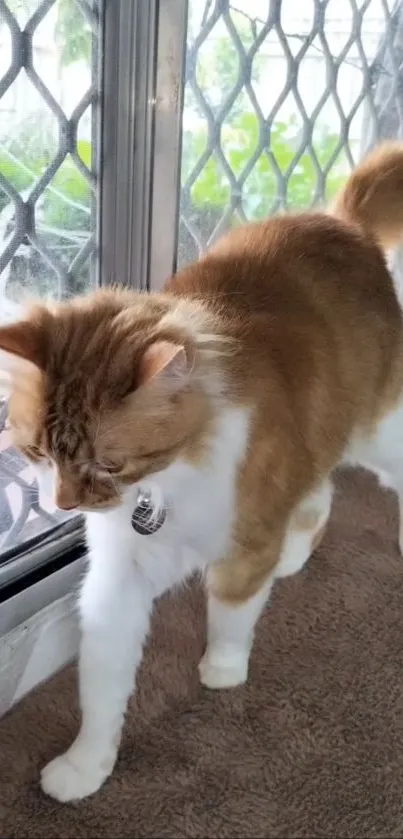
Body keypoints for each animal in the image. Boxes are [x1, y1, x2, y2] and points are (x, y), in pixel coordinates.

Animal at [0, 141, 403, 804]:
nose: (63, 506)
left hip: (378, 430)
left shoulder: (246, 538)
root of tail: (340, 220)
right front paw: (86, 766)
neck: (165, 484)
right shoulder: (118, 578)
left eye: (108, 464)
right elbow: (102, 686)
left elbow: (231, 611)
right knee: (319, 493)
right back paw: (294, 556)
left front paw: (223, 669)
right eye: (37, 454)